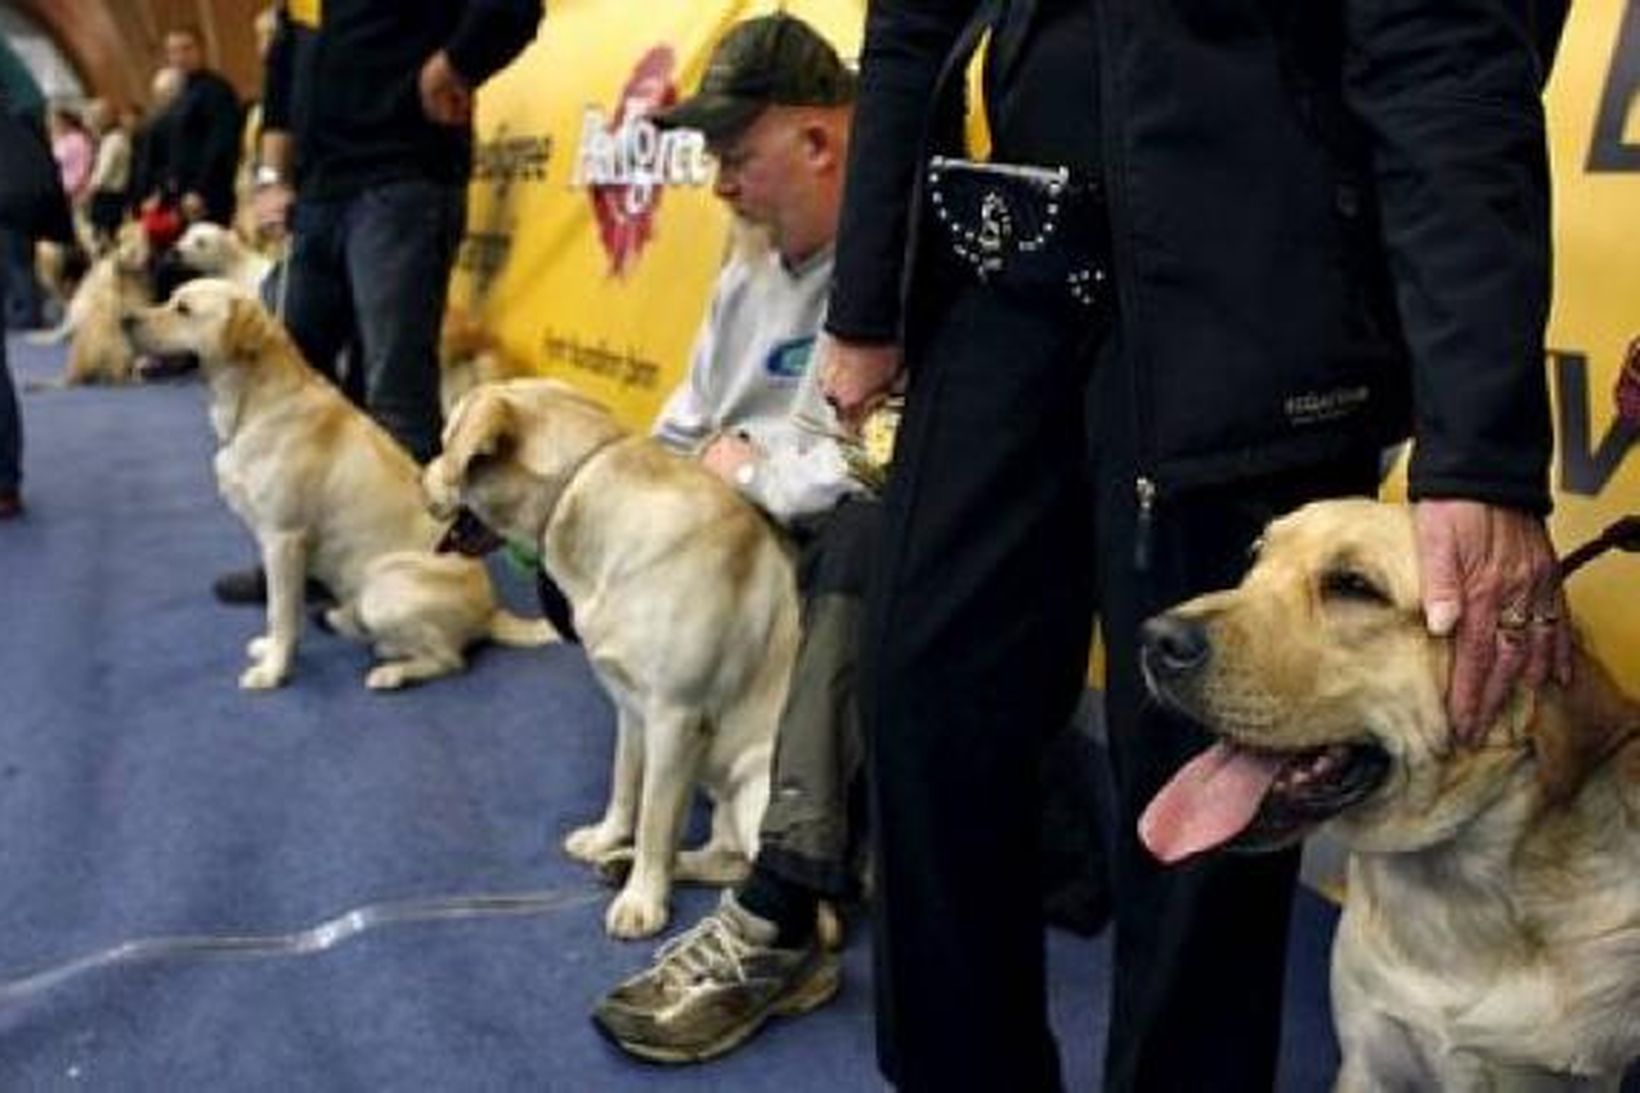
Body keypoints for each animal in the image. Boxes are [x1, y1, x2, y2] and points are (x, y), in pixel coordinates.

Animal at [123, 280, 557, 689]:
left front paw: (273, 671)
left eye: (183, 309)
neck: (254, 405)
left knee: (451, 659)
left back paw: (391, 673)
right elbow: (280, 614)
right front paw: (269, 651)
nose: (125, 320)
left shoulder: (284, 540)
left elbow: (280, 612)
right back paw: (345, 622)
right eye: (170, 299)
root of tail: (493, 611)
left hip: (385, 588)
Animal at [426, 377, 803, 938]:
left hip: (760, 788)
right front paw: (609, 840)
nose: (421, 476)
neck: (582, 491)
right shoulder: (631, 708)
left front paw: (643, 900)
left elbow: (654, 820)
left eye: (447, 440)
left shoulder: (675, 718)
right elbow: (625, 786)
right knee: (729, 858)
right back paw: (630, 863)